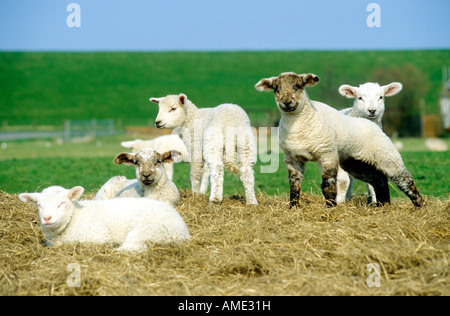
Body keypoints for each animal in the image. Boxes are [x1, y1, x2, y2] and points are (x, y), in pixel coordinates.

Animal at [17, 185, 189, 252]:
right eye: (39, 205)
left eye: (62, 203)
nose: (47, 218)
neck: (75, 217)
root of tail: (185, 230)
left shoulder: (96, 236)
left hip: (148, 230)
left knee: (133, 248)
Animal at [255, 73, 424, 209]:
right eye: (276, 89)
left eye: (297, 87)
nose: (286, 102)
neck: (299, 124)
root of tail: (370, 122)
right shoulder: (292, 158)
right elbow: (294, 184)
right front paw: (293, 207)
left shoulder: (328, 153)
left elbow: (328, 184)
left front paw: (331, 208)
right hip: (355, 162)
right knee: (378, 179)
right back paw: (383, 205)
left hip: (386, 154)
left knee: (404, 179)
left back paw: (420, 205)